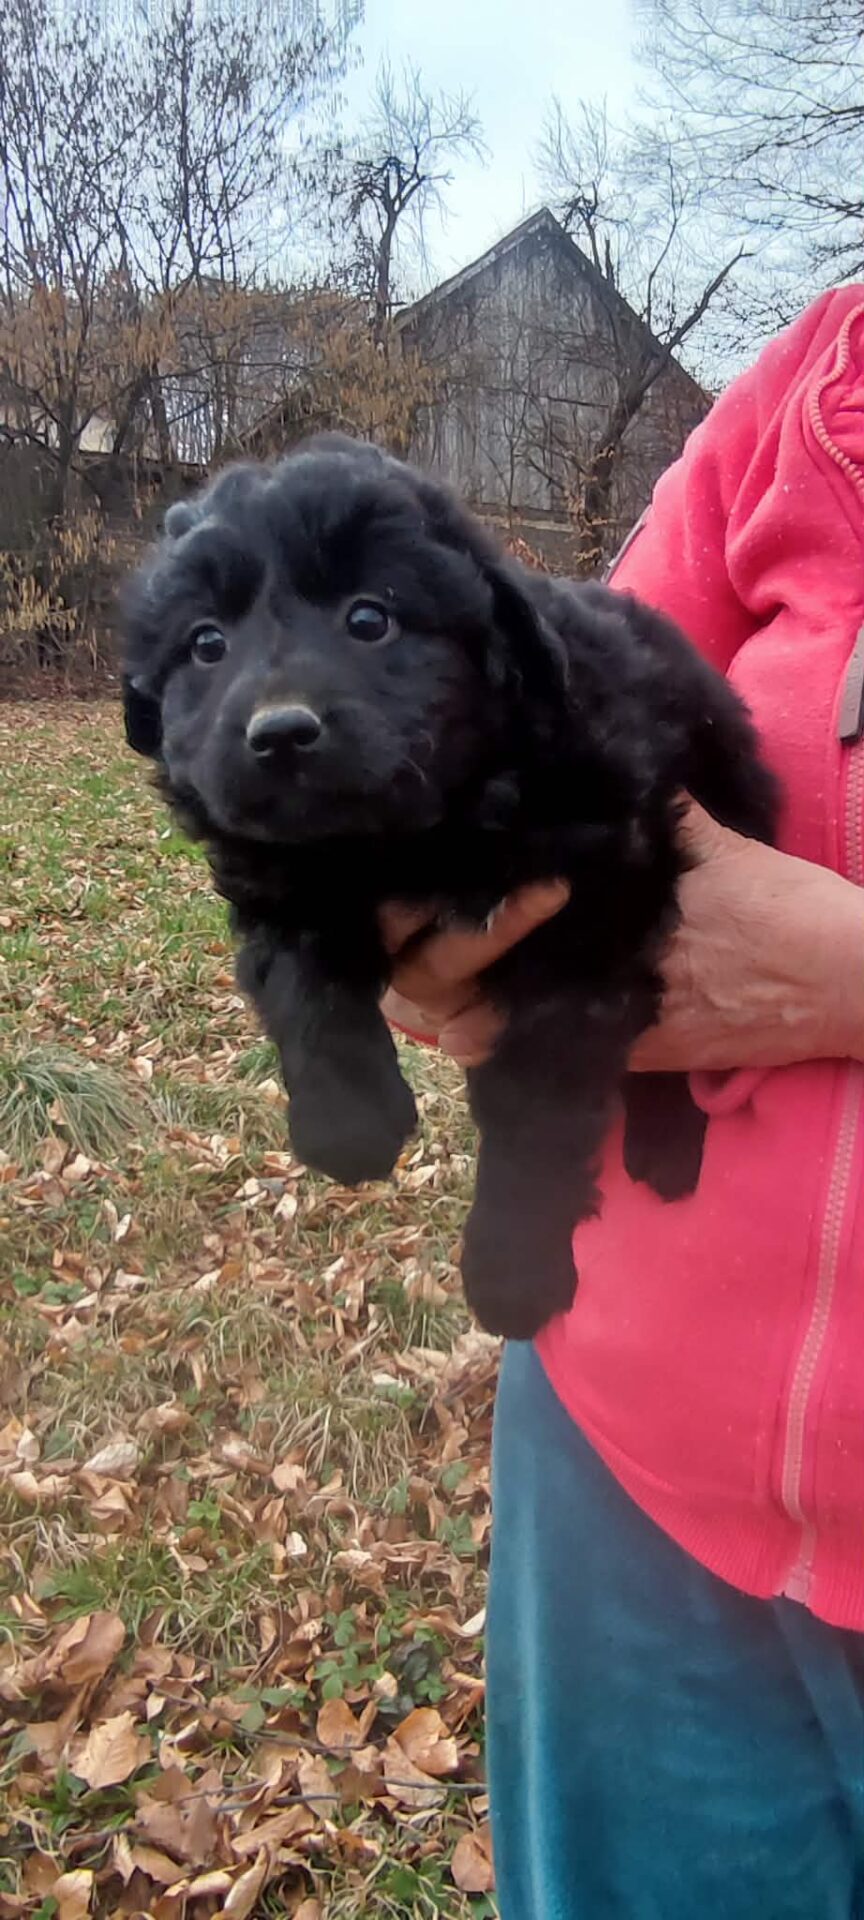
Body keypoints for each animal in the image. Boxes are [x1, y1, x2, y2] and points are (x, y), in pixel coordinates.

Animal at [121, 435, 779, 1339]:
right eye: (206, 644)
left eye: (371, 619)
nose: (280, 732)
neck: (412, 839)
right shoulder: (282, 884)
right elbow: (304, 986)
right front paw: (349, 1125)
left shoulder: (588, 935)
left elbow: (534, 1114)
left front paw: (512, 1269)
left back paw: (666, 1146)